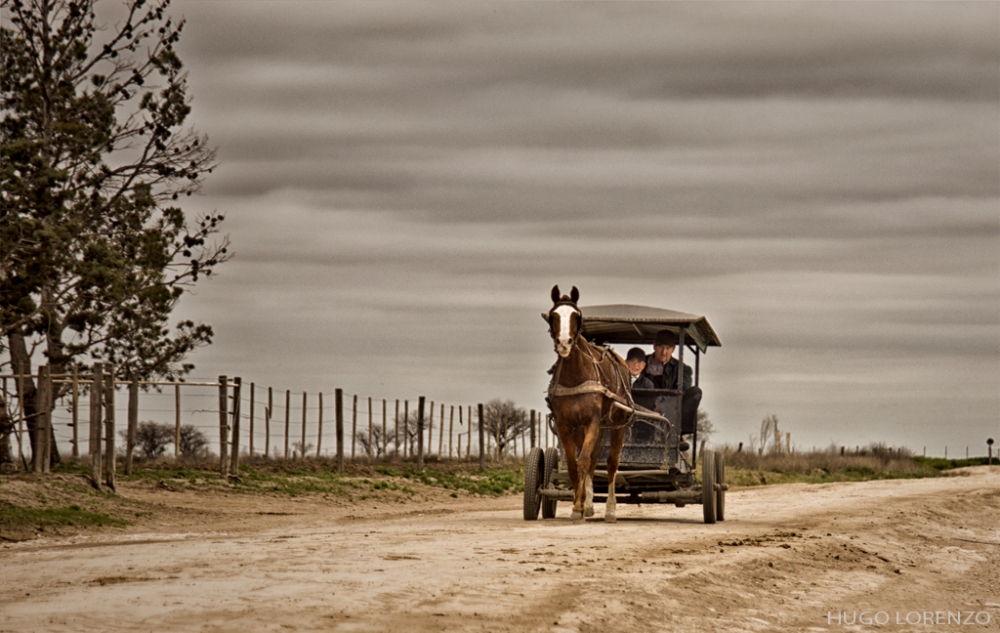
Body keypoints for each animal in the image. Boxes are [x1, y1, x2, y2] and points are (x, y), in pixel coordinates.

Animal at [548, 284, 632, 520]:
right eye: (553, 315)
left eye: (576, 315)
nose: (564, 343)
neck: (576, 376)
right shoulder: (565, 425)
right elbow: (574, 465)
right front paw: (580, 504)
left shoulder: (592, 422)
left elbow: (584, 461)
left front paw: (579, 506)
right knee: (594, 461)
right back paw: (589, 503)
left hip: (616, 424)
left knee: (611, 463)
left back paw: (610, 509)